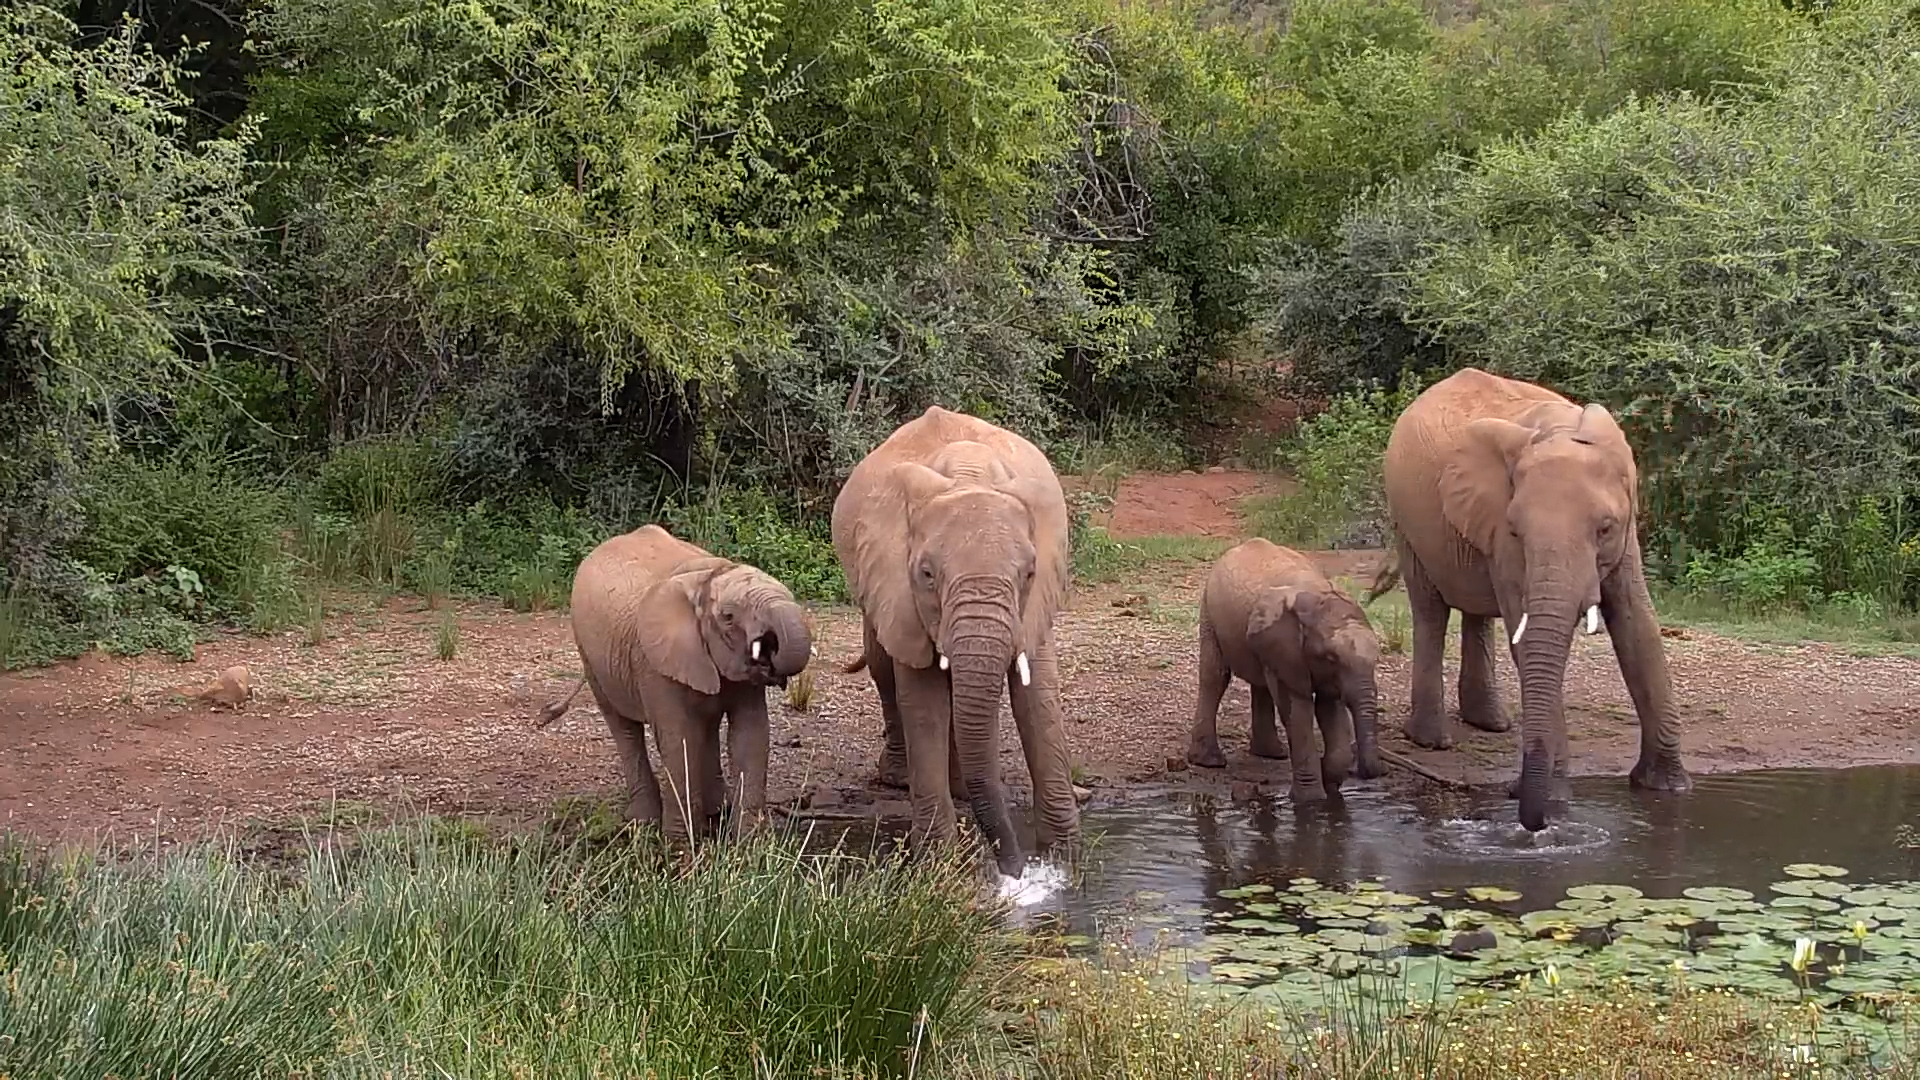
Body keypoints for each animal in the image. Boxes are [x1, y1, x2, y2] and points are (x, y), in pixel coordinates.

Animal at [539, 524, 812, 842]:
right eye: (728, 617)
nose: (771, 660)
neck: (709, 576)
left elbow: (750, 735)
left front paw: (750, 844)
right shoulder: (654, 664)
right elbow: (679, 738)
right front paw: (679, 845)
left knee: (706, 725)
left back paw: (715, 811)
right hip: (589, 653)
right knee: (624, 727)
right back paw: (643, 821)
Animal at [830, 405, 1080, 879]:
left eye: (1029, 573)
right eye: (927, 574)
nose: (1013, 872)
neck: (970, 476)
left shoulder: (1035, 603)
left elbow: (1038, 696)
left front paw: (1064, 858)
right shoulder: (898, 586)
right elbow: (923, 701)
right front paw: (938, 867)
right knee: (883, 670)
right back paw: (900, 779)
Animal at [1185, 538, 1385, 801]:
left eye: (1376, 658)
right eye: (1331, 658)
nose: (1365, 773)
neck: (1319, 598)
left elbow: (1329, 707)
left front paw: (1330, 782)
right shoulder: (1289, 648)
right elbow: (1296, 709)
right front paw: (1311, 800)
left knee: (1260, 683)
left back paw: (1272, 754)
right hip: (1209, 609)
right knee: (1215, 676)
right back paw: (1209, 762)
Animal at [1380, 367, 1690, 831]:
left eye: (1604, 528)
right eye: (1516, 530)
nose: (1524, 809)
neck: (1562, 431)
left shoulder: (1627, 532)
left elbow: (1638, 627)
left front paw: (1667, 789)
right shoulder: (1503, 536)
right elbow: (1527, 640)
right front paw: (1557, 803)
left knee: (1475, 611)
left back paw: (1492, 724)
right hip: (1407, 520)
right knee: (1431, 610)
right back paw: (1432, 741)